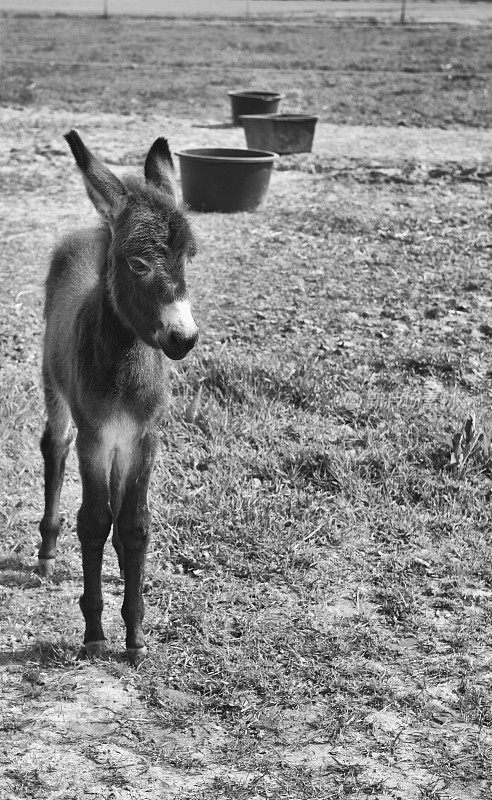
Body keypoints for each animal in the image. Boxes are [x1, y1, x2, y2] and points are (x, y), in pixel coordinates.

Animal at [39, 131, 199, 664]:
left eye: (188, 259)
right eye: (139, 264)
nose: (184, 339)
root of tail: (93, 228)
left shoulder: (144, 436)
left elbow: (134, 523)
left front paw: (134, 635)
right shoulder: (94, 434)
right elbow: (94, 521)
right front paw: (94, 633)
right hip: (55, 389)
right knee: (55, 447)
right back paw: (46, 551)